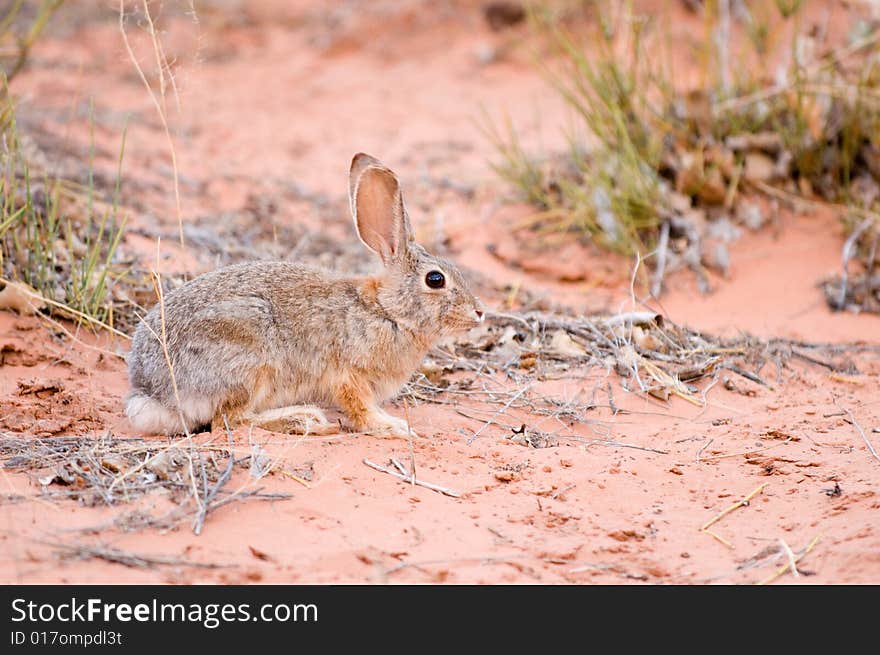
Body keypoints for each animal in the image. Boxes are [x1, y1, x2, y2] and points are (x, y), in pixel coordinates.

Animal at [124, 154, 484, 438]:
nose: (479, 312)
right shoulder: (349, 375)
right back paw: (304, 419)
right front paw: (393, 427)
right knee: (229, 420)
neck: (388, 311)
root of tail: (152, 392)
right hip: (250, 361)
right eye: (435, 279)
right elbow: (360, 408)